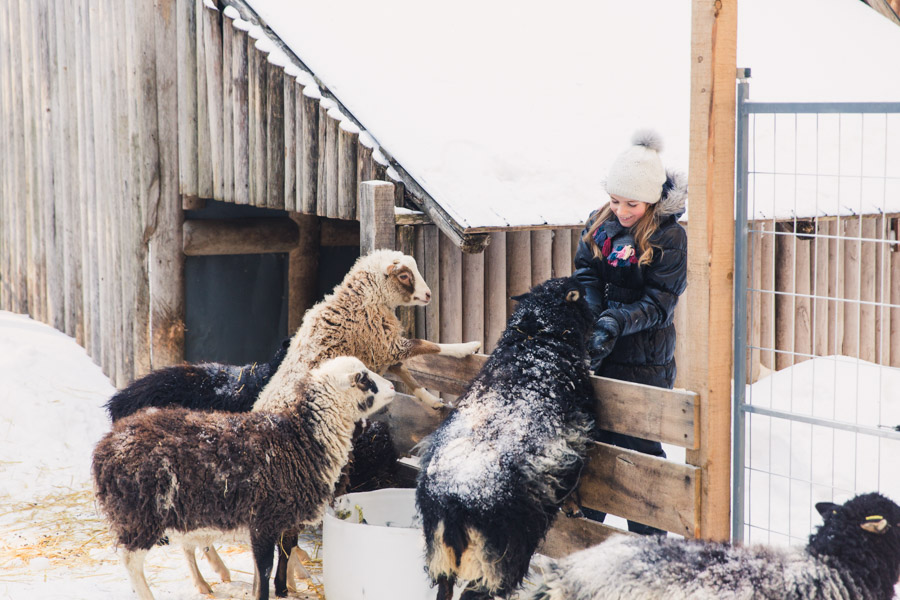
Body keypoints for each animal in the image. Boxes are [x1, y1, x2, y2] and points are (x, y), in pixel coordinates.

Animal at [92, 356, 398, 600]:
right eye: (364, 379)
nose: (394, 388)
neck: (303, 439)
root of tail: (107, 445)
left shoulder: (281, 518)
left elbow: (279, 558)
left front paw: (283, 590)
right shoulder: (264, 519)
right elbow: (264, 569)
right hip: (141, 514)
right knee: (131, 561)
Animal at [250, 247, 482, 412]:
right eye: (404, 276)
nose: (428, 295)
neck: (361, 301)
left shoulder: (380, 350)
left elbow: (404, 370)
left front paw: (432, 400)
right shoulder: (385, 345)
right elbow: (429, 345)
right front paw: (468, 347)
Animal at [416, 278, 596, 600]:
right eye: (582, 298)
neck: (537, 338)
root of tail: (451, 504)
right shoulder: (577, 436)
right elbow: (574, 481)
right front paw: (574, 509)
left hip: (440, 554)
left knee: (445, 590)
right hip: (500, 557)